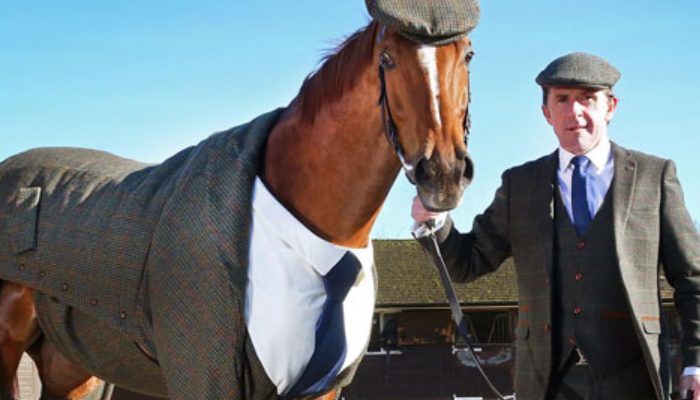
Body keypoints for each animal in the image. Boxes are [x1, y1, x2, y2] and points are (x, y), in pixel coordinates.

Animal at [0, 17, 475, 400]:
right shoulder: (211, 377)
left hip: (71, 369)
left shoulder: (317, 389)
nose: (443, 174)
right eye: (388, 59)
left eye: (468, 54)